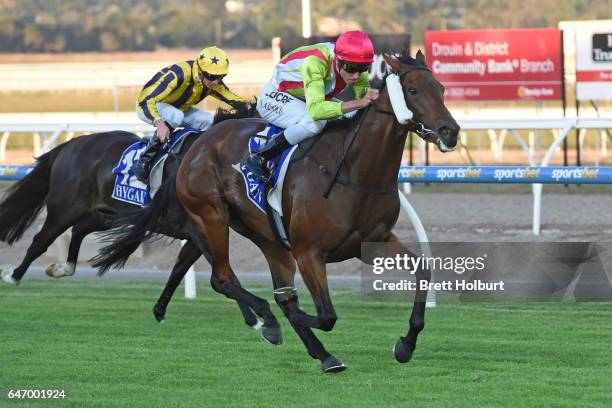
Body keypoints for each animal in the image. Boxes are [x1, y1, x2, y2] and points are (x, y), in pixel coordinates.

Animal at [0, 107, 260, 326]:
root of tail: (70, 145)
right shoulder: (199, 230)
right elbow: (221, 274)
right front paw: (256, 319)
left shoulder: (201, 234)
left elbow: (181, 268)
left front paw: (159, 309)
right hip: (64, 209)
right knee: (40, 241)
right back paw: (13, 275)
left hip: (106, 213)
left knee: (80, 229)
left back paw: (64, 268)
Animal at [94, 53, 460, 372]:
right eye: (413, 90)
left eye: (441, 89)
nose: (450, 131)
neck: (355, 173)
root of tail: (196, 143)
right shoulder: (308, 251)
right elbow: (325, 315)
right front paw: (284, 319)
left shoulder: (373, 240)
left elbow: (423, 270)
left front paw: (406, 344)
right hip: (213, 217)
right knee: (223, 278)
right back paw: (267, 319)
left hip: (267, 236)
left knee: (270, 288)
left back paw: (323, 354)